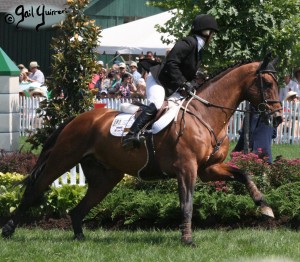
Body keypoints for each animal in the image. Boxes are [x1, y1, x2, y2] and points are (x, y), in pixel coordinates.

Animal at [2, 55, 282, 246]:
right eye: (267, 83)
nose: (278, 118)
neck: (206, 115)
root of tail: (78, 118)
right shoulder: (186, 169)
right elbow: (187, 204)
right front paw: (187, 239)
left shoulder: (208, 169)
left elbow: (244, 174)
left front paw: (265, 207)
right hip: (62, 159)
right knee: (35, 191)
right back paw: (8, 229)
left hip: (106, 178)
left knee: (79, 208)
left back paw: (80, 237)